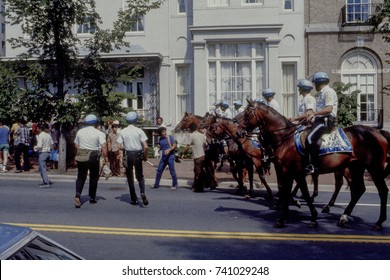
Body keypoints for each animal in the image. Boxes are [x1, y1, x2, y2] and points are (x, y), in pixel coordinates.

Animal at [236, 99, 388, 231]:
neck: (286, 138)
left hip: (373, 168)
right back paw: (344, 217)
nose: (238, 132)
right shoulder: (294, 173)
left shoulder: (291, 172)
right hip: (356, 167)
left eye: (247, 113)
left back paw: (379, 222)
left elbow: (292, 191)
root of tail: (378, 132)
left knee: (382, 190)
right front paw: (309, 216)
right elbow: (297, 192)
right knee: (359, 190)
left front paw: (285, 218)